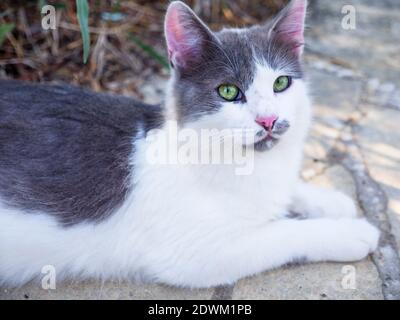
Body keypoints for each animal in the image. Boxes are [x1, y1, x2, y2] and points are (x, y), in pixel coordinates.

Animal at [0, 0, 378, 288]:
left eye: (281, 83)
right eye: (228, 91)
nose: (268, 120)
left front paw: (330, 200)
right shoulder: (195, 254)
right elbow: (283, 232)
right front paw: (349, 231)